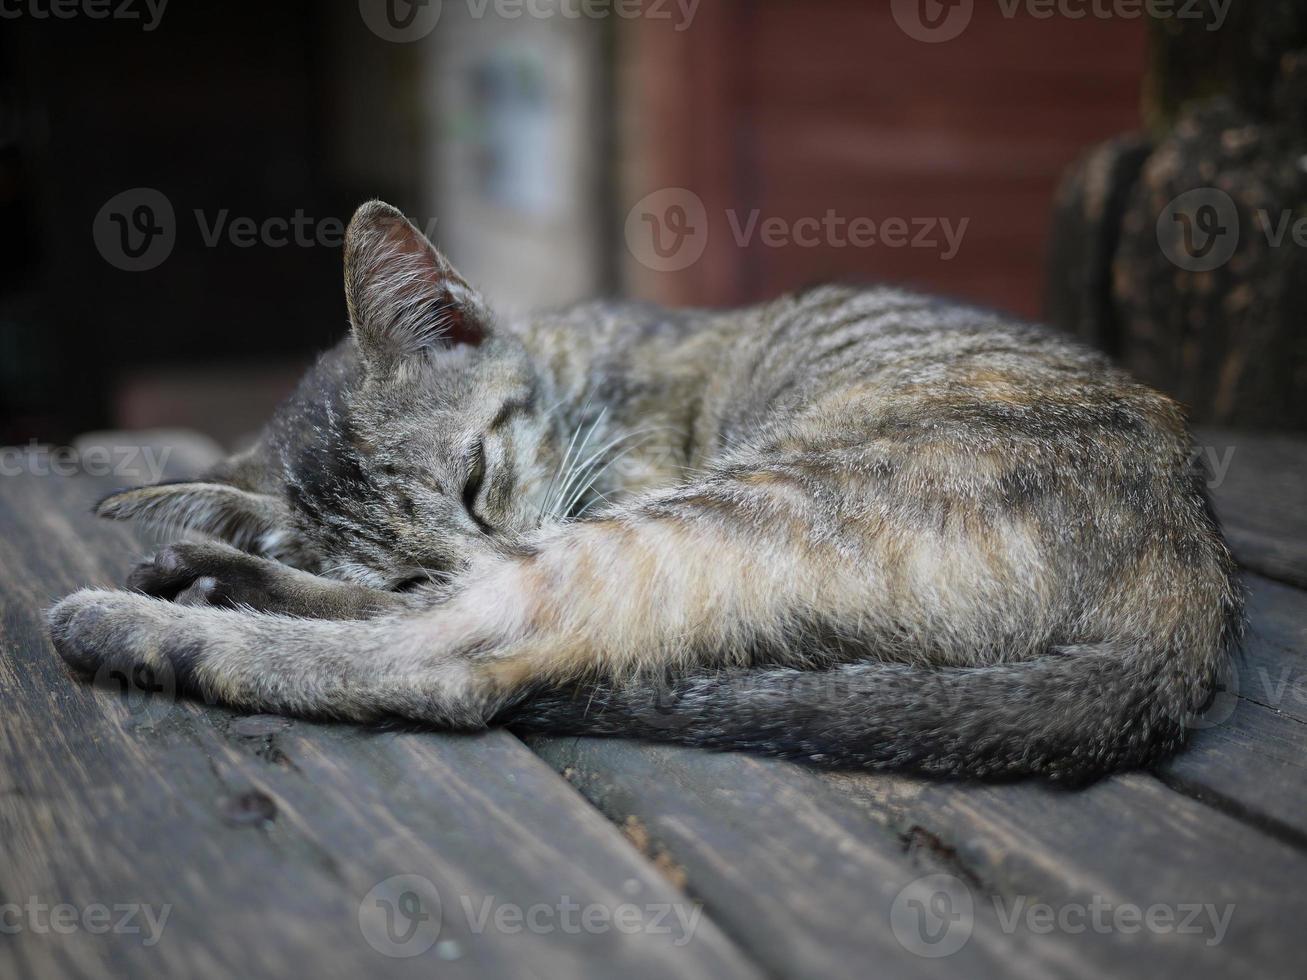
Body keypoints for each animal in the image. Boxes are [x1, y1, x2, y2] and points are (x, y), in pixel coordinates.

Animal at [43, 199, 1244, 783]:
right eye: (405, 550)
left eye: (474, 477)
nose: (464, 553)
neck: (587, 366)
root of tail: (1187, 600)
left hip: (729, 508)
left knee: (450, 661)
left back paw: (142, 613)